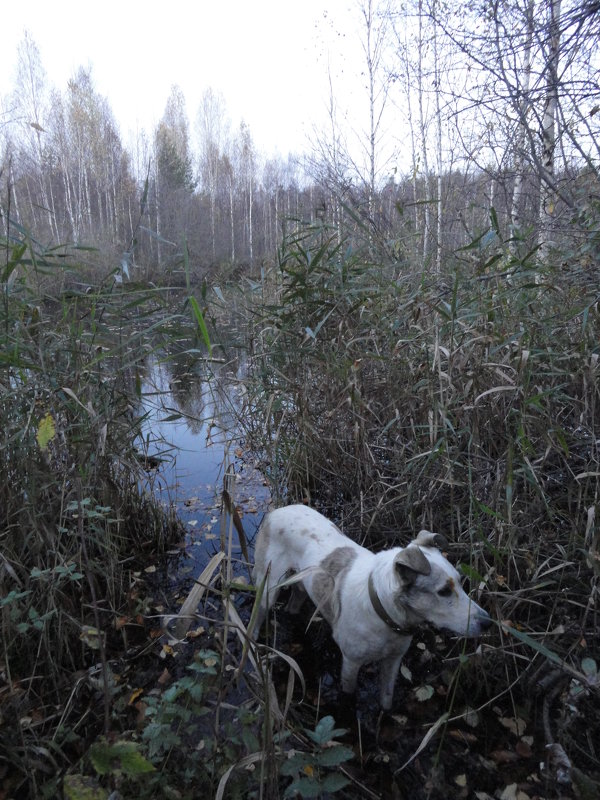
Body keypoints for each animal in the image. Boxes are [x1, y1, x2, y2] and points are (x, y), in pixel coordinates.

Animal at [253, 504, 492, 708]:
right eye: (443, 591)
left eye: (460, 582)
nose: (488, 622)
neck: (385, 614)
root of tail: (277, 510)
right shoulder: (351, 662)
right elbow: (349, 692)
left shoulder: (393, 661)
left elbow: (386, 699)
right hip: (268, 587)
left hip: (303, 585)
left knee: (294, 603)